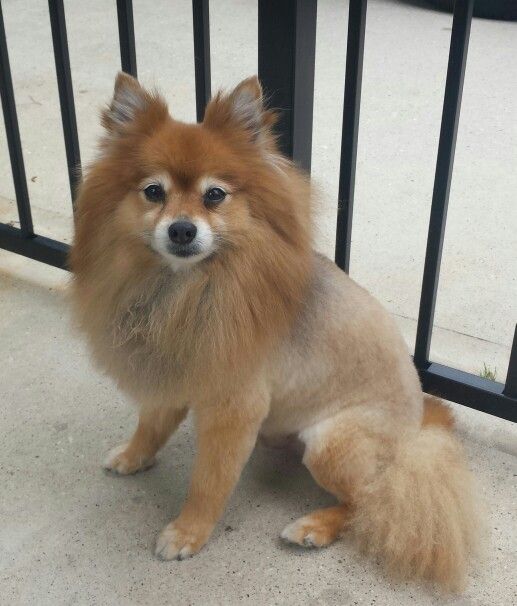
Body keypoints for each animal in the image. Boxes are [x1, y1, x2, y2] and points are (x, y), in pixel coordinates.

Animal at [70, 73, 482, 592]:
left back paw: (314, 527)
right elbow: (152, 424)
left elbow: (209, 481)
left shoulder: (234, 407)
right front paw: (133, 456)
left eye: (215, 195)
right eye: (152, 192)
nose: (182, 230)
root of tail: (417, 431)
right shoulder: (180, 369)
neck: (188, 289)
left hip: (331, 445)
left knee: (369, 502)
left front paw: (188, 533)